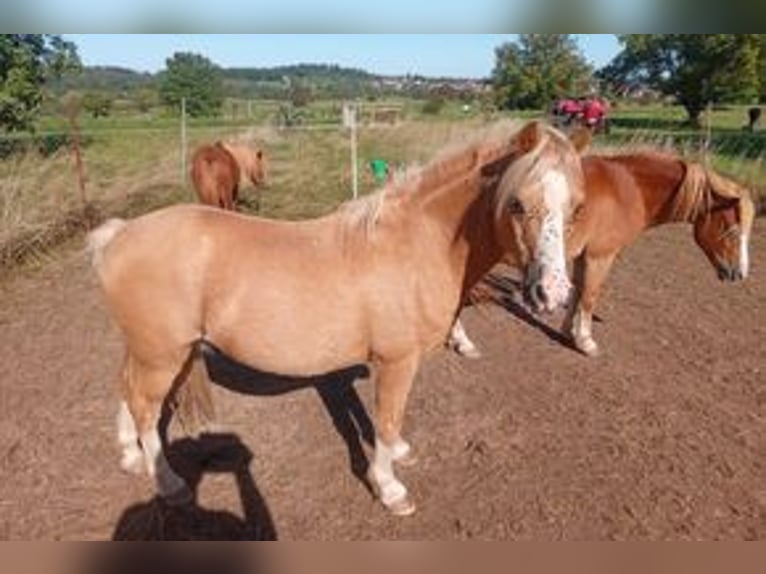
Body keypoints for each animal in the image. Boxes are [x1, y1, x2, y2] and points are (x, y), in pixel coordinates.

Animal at [88, 120, 588, 517]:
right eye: (517, 203)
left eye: (577, 207)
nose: (553, 293)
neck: (416, 243)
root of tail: (118, 235)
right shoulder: (396, 361)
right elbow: (386, 419)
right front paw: (390, 490)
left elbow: (388, 421)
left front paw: (399, 455)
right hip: (162, 355)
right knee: (146, 407)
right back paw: (168, 483)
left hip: (155, 351)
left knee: (127, 391)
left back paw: (132, 458)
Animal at [449, 149, 755, 359]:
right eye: (730, 229)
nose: (738, 273)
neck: (629, 188)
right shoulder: (601, 256)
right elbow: (590, 296)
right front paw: (586, 342)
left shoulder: (582, 256)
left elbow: (577, 293)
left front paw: (567, 332)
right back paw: (462, 342)